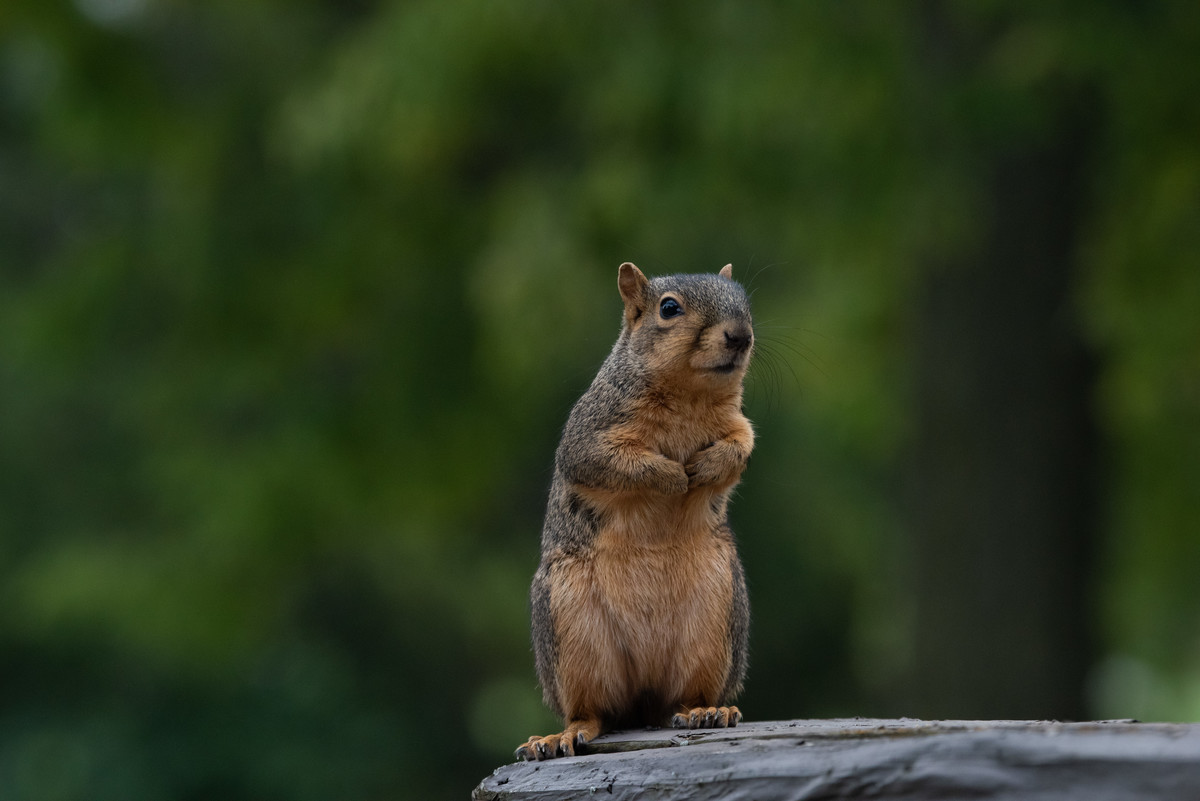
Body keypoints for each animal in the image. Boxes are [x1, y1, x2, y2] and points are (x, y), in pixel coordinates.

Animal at [513, 260, 748, 762]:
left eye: (743, 300)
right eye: (669, 308)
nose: (740, 335)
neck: (689, 395)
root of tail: (644, 699)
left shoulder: (739, 425)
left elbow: (741, 450)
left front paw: (706, 467)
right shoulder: (591, 433)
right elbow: (617, 463)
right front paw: (672, 477)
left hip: (716, 619)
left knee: (689, 695)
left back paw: (707, 711)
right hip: (571, 629)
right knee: (592, 711)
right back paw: (561, 736)